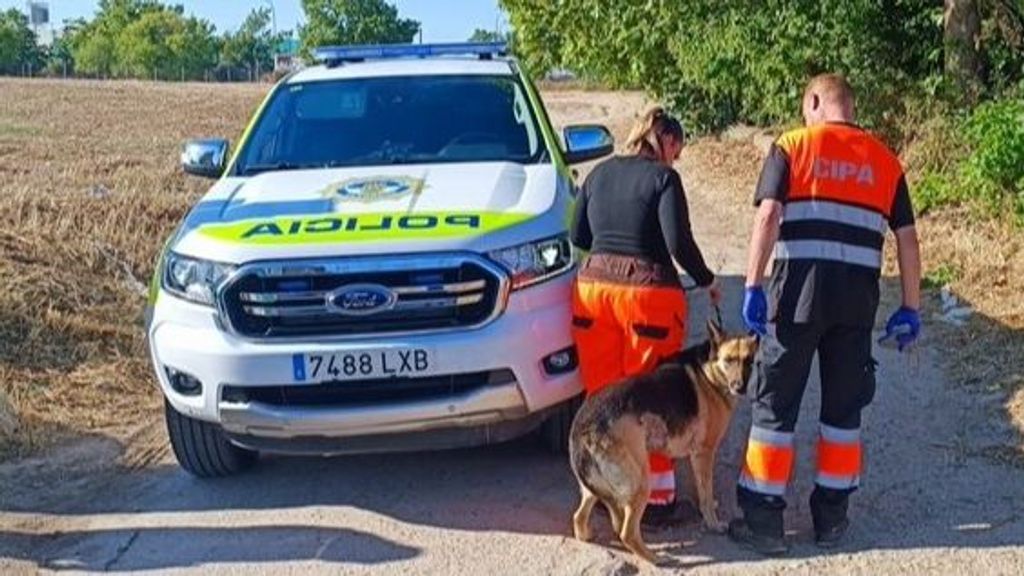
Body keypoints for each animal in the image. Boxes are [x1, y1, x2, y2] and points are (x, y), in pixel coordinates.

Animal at [569, 319, 761, 561]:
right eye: (729, 360)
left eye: (749, 361)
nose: (739, 387)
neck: (709, 371)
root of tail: (582, 425)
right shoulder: (704, 454)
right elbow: (706, 493)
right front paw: (713, 523)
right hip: (641, 481)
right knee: (627, 532)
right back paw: (654, 558)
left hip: (596, 487)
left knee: (579, 516)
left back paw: (588, 536)